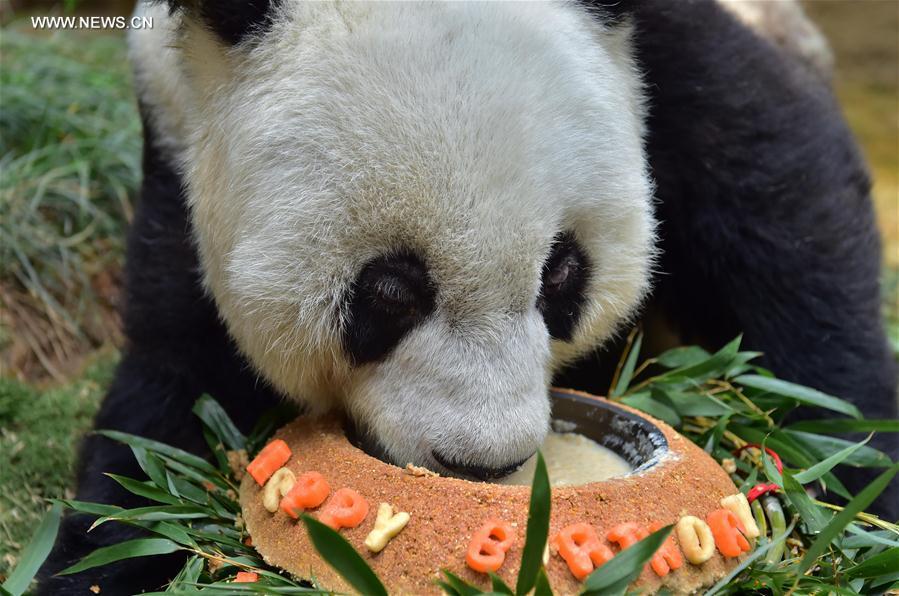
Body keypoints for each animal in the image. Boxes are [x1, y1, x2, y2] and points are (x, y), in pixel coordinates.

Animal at [38, 2, 896, 592]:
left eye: (562, 276)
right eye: (389, 292)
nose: (485, 465)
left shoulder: (669, 50)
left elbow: (781, 206)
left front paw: (858, 488)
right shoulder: (177, 132)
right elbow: (171, 381)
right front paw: (97, 555)